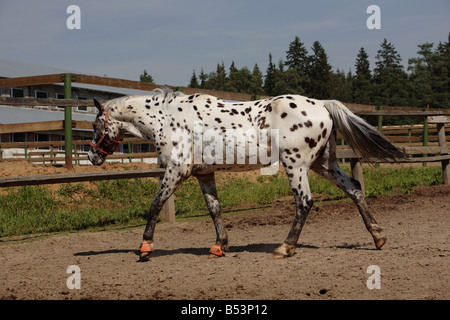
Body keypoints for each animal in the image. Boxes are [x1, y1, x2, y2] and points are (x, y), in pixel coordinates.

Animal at [88, 89, 404, 258]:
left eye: (94, 125)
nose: (92, 156)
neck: (167, 119)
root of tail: (322, 104)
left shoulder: (176, 171)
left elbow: (154, 205)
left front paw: (145, 248)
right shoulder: (204, 174)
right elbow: (214, 209)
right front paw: (220, 245)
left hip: (296, 164)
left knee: (304, 203)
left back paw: (285, 248)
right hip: (323, 163)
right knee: (354, 188)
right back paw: (378, 237)